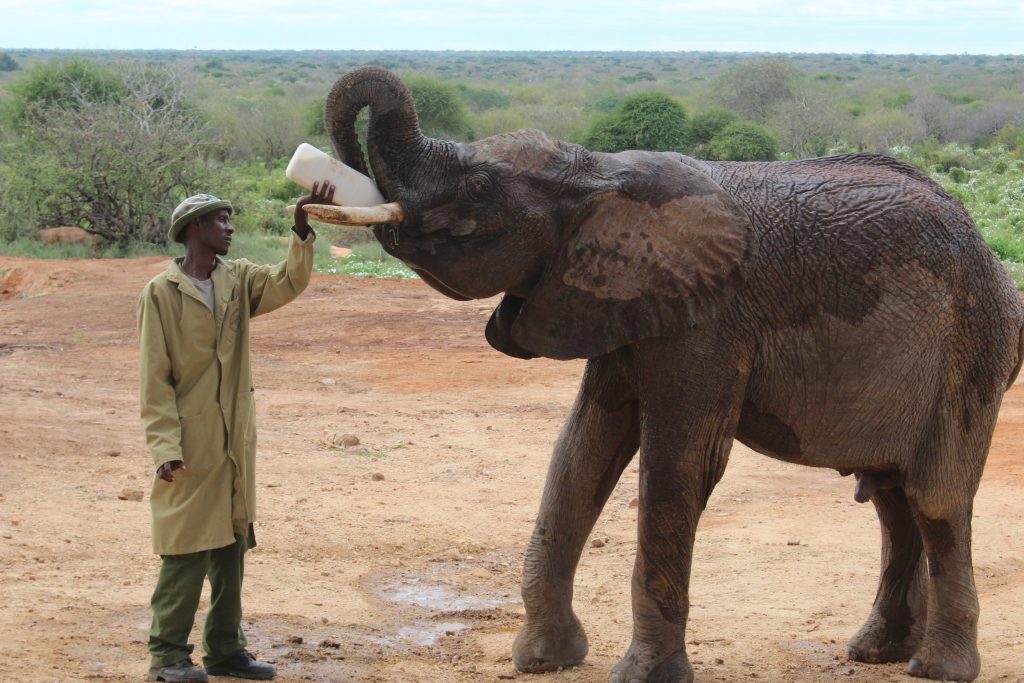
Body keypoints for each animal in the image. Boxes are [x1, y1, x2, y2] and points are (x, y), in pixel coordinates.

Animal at [315, 65, 1024, 683]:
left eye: (482, 185)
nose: (325, 187)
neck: (597, 174)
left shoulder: (709, 321)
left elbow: (679, 463)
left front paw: (641, 675)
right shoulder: (613, 304)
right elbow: (580, 455)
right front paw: (544, 661)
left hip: (971, 348)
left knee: (934, 498)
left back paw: (938, 669)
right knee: (893, 503)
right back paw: (876, 652)